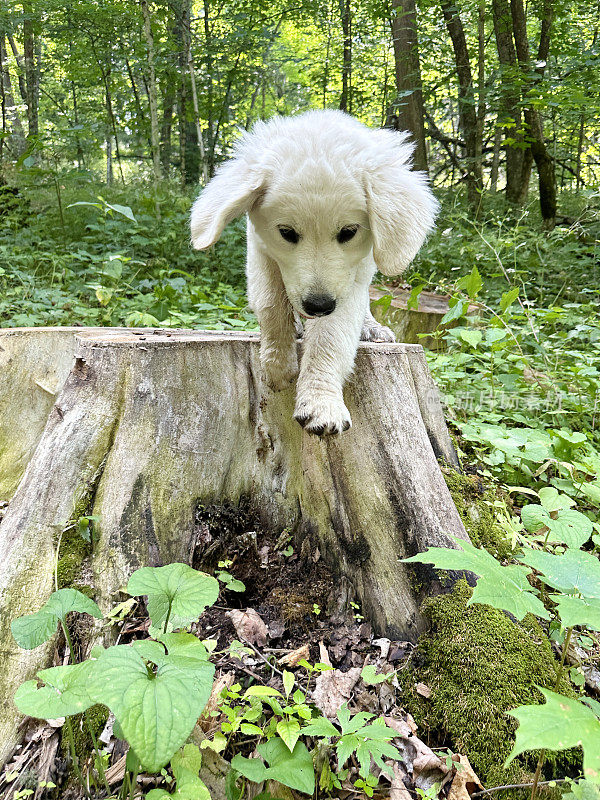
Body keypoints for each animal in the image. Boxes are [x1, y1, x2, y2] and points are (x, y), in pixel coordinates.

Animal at [190, 108, 438, 434]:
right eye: (286, 232)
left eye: (349, 232)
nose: (318, 306)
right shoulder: (260, 250)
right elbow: (271, 303)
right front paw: (277, 364)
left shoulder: (351, 277)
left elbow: (331, 338)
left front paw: (321, 403)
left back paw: (372, 328)